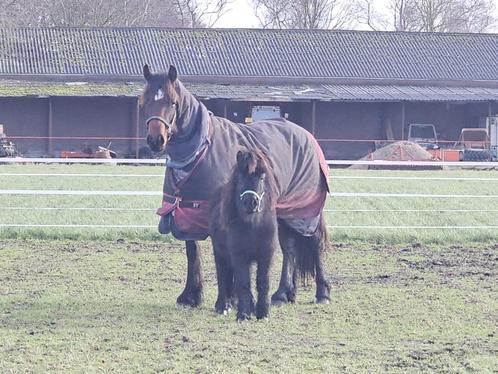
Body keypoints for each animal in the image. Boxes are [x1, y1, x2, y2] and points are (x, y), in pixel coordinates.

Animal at [210, 148, 280, 320]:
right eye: (241, 177)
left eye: (262, 177)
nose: (251, 202)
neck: (253, 226)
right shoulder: (239, 255)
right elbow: (243, 283)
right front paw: (243, 314)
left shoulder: (266, 255)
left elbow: (263, 282)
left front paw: (262, 313)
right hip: (220, 253)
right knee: (223, 275)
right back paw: (223, 305)